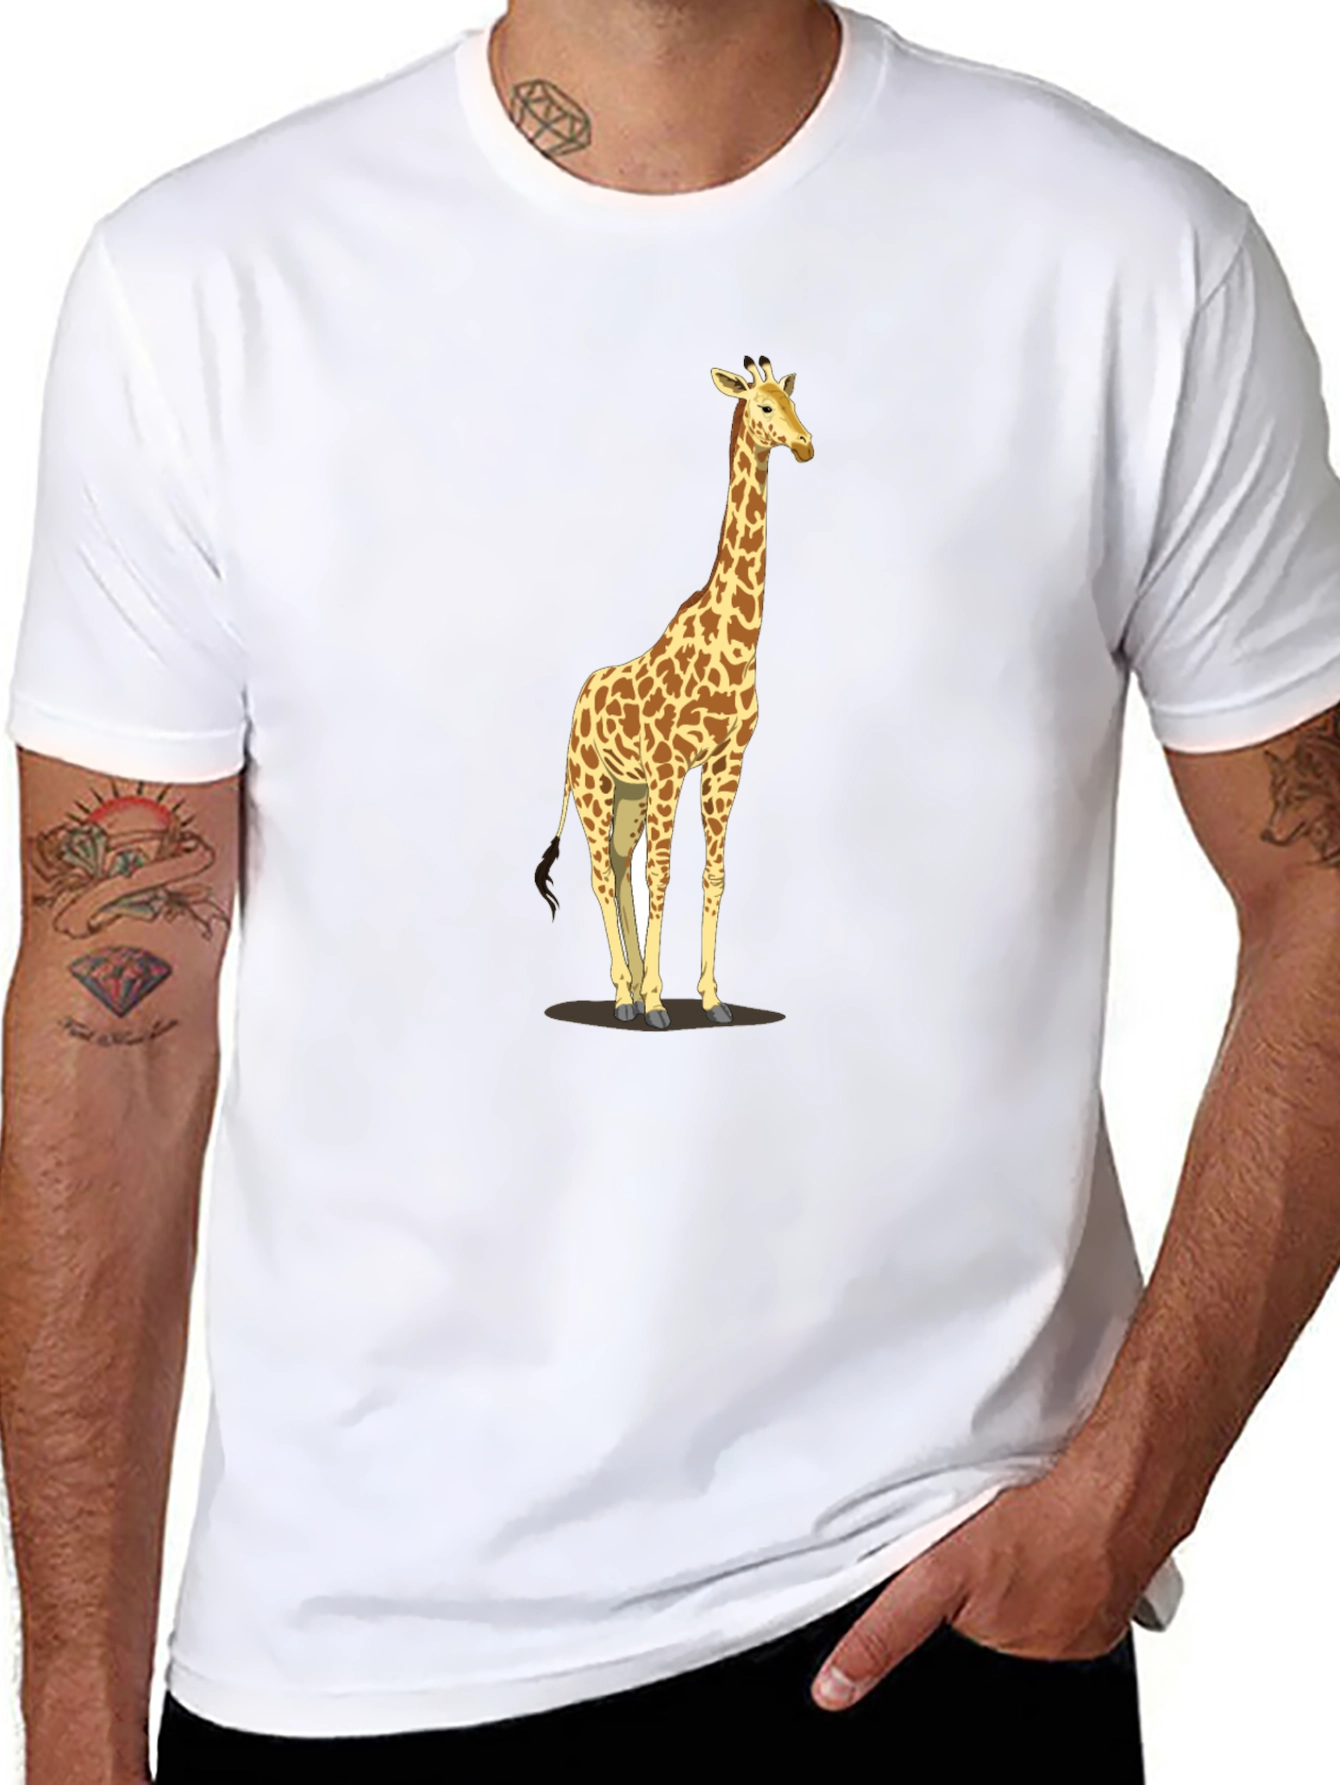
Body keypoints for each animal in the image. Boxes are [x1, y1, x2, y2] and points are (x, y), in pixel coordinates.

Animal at [534, 354, 814, 1029]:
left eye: (794, 402)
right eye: (764, 406)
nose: (805, 445)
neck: (737, 641)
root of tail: (578, 703)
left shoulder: (726, 761)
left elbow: (713, 874)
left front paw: (710, 998)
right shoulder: (669, 765)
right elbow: (663, 873)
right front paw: (662, 999)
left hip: (629, 793)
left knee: (618, 865)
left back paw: (633, 988)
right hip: (595, 785)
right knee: (602, 874)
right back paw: (627, 994)